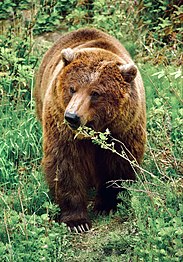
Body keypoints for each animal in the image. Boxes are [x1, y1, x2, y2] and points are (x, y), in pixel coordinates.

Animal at [34, 28, 146, 233]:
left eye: (95, 93)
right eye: (72, 88)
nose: (72, 116)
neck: (93, 130)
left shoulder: (122, 129)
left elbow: (117, 163)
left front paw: (107, 205)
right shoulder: (61, 127)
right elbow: (65, 164)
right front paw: (76, 221)